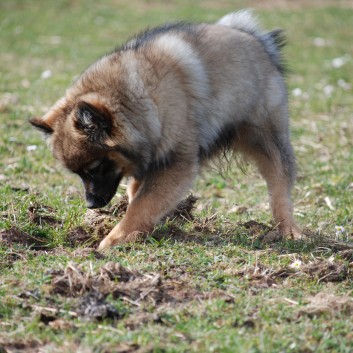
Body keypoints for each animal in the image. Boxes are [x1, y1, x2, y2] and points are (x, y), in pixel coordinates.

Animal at [29, 9, 300, 249]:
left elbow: (143, 204)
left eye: (95, 168)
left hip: (266, 141)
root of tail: (258, 40)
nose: (91, 205)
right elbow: (138, 194)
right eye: (78, 174)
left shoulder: (177, 163)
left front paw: (115, 238)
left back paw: (288, 230)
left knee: (279, 187)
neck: (141, 98)